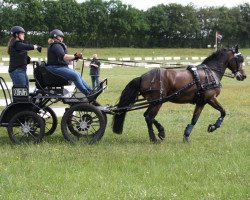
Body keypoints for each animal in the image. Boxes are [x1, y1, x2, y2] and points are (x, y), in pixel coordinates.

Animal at [113, 47, 246, 143]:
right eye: (239, 60)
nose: (243, 76)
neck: (211, 73)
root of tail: (142, 77)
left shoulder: (201, 102)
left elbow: (194, 119)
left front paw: (186, 136)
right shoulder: (210, 99)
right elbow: (223, 112)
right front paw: (213, 127)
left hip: (155, 102)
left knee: (147, 116)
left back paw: (161, 132)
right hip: (157, 102)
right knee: (149, 117)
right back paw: (154, 138)